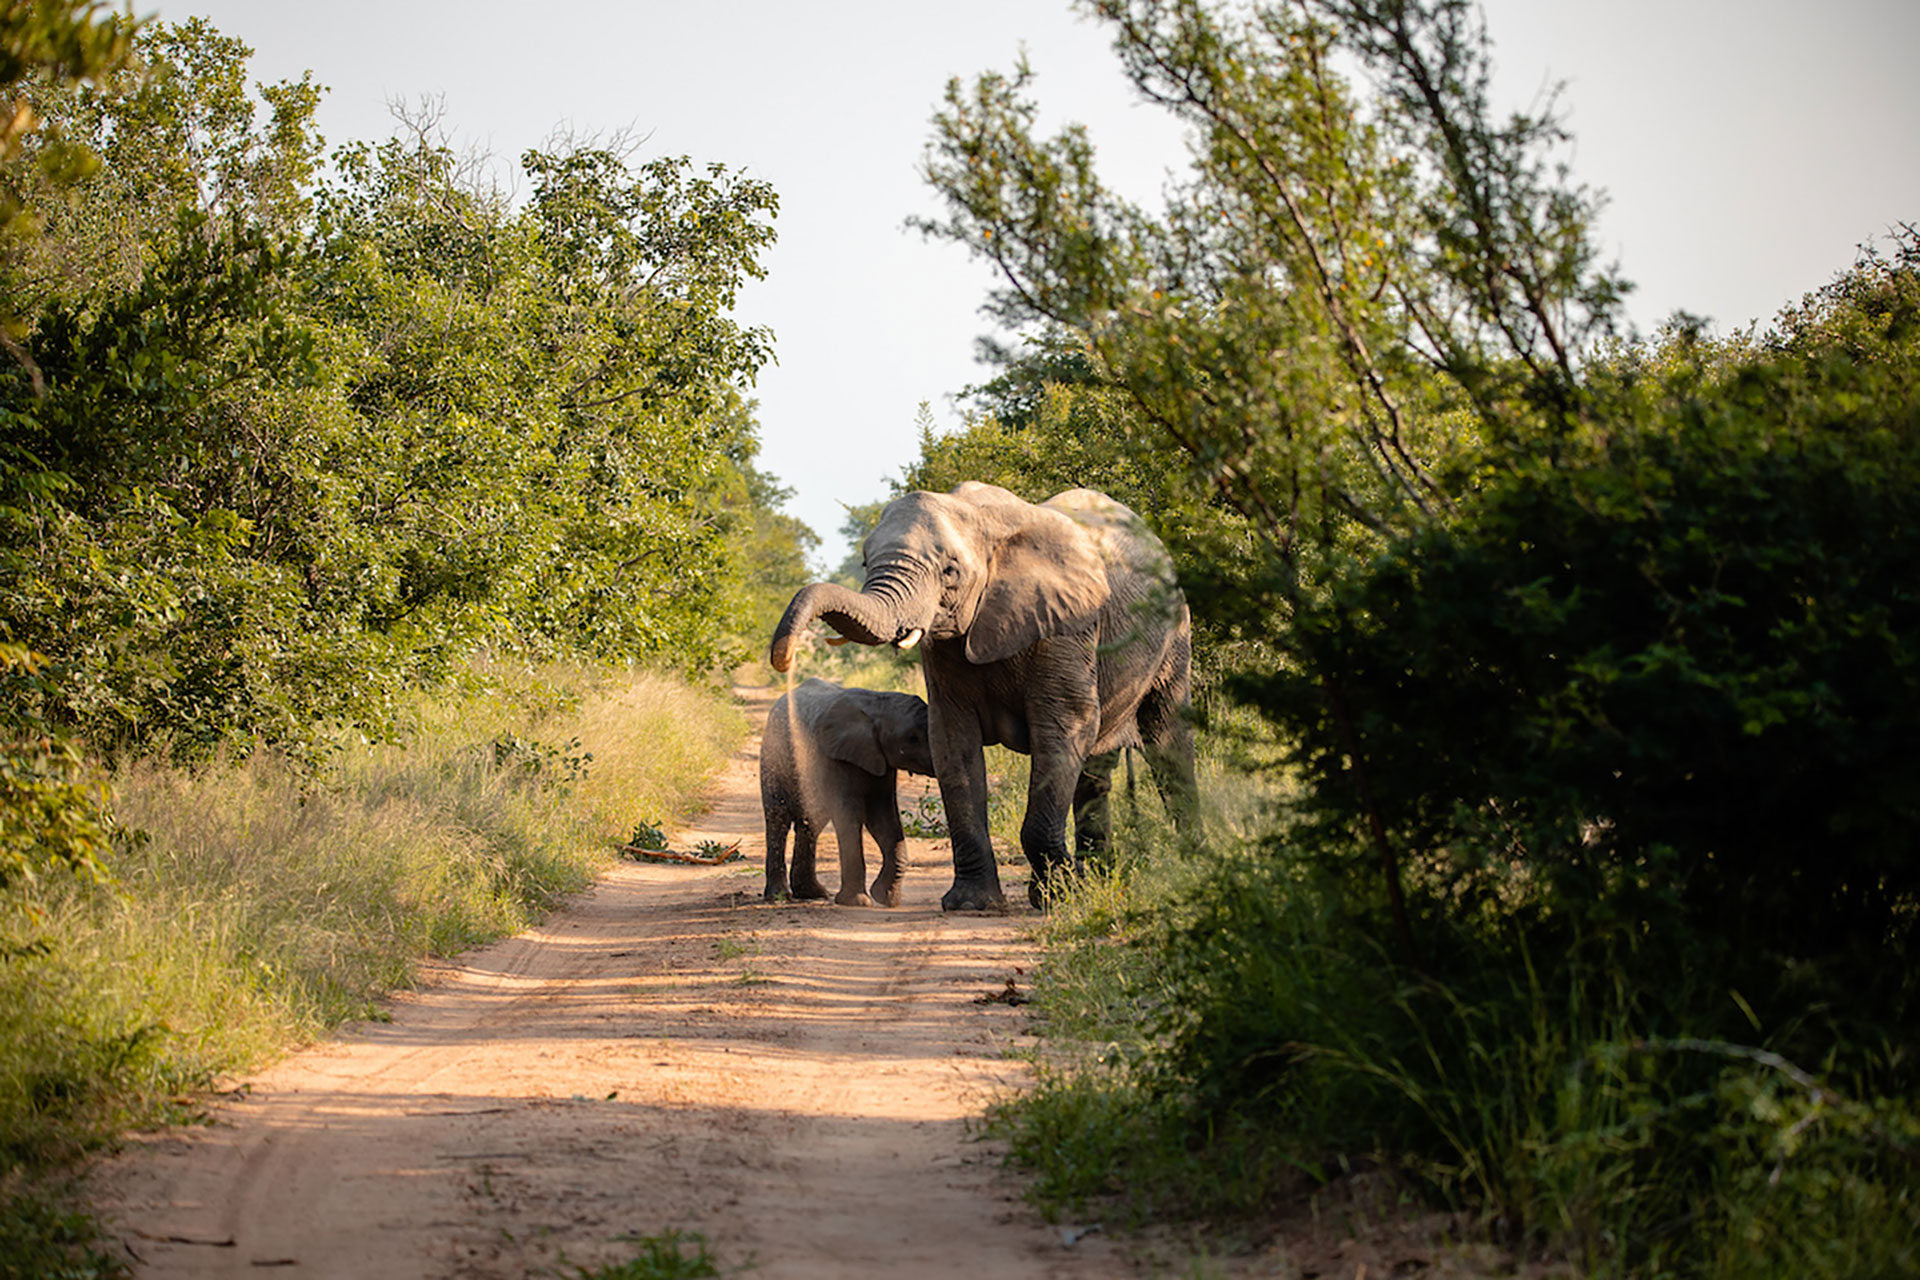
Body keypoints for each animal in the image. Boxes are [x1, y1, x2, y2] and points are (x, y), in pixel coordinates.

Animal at [761, 677, 938, 907]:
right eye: (912, 738)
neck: (877, 705)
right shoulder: (833, 758)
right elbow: (849, 814)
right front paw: (858, 902)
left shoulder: (881, 760)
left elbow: (883, 816)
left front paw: (886, 899)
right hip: (773, 754)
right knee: (778, 817)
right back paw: (778, 897)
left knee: (811, 822)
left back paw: (813, 894)